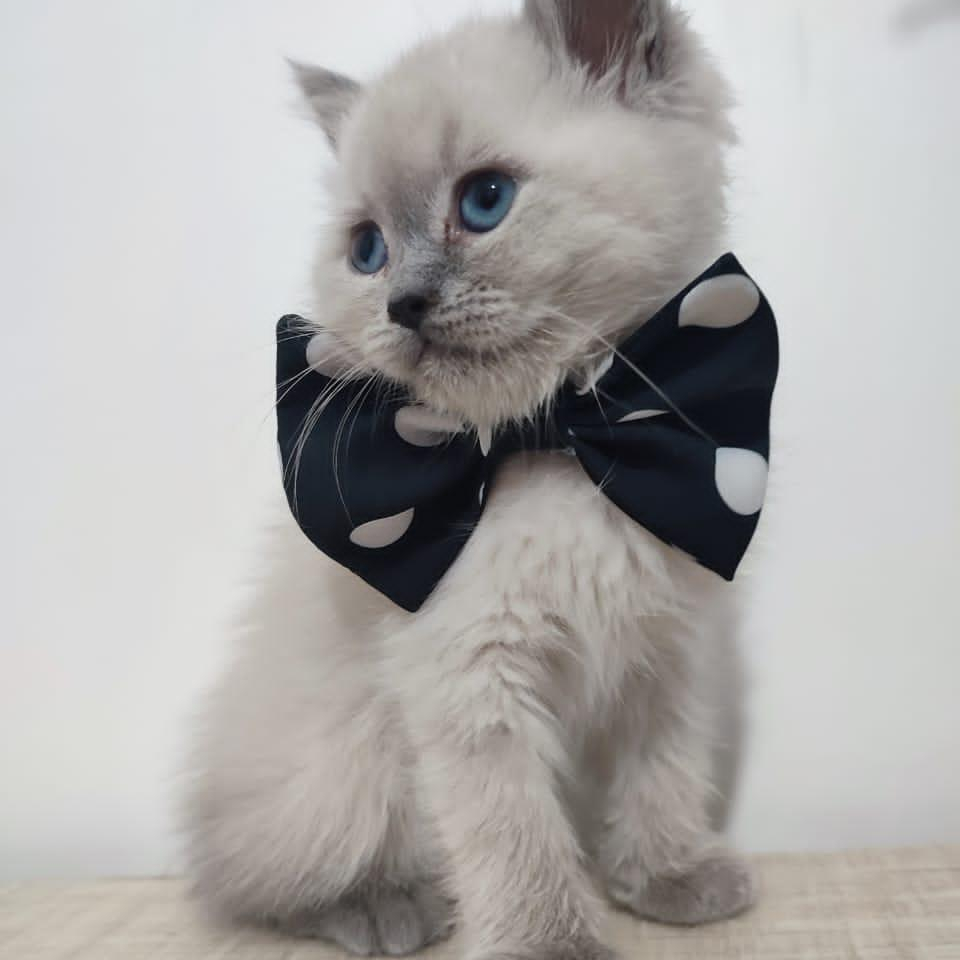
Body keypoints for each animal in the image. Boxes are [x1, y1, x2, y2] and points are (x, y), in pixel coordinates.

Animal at [183, 2, 755, 958]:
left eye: (484, 201)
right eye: (367, 250)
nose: (402, 304)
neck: (558, 438)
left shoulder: (667, 644)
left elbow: (662, 771)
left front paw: (667, 877)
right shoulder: (471, 671)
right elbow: (513, 830)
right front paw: (550, 940)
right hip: (342, 768)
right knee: (261, 881)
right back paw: (387, 908)